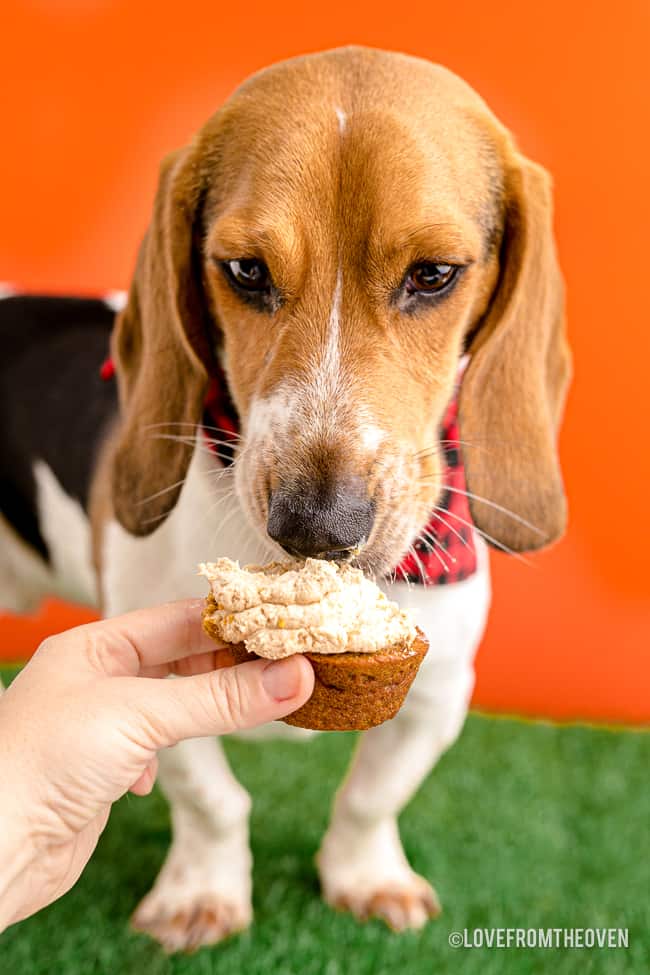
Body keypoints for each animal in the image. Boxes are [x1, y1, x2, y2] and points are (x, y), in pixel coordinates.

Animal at [0, 47, 568, 952]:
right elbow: (211, 800)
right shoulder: (147, 682)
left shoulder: (442, 689)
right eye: (246, 271)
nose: (316, 526)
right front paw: (201, 894)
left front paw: (366, 876)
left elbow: (371, 797)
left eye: (434, 275)